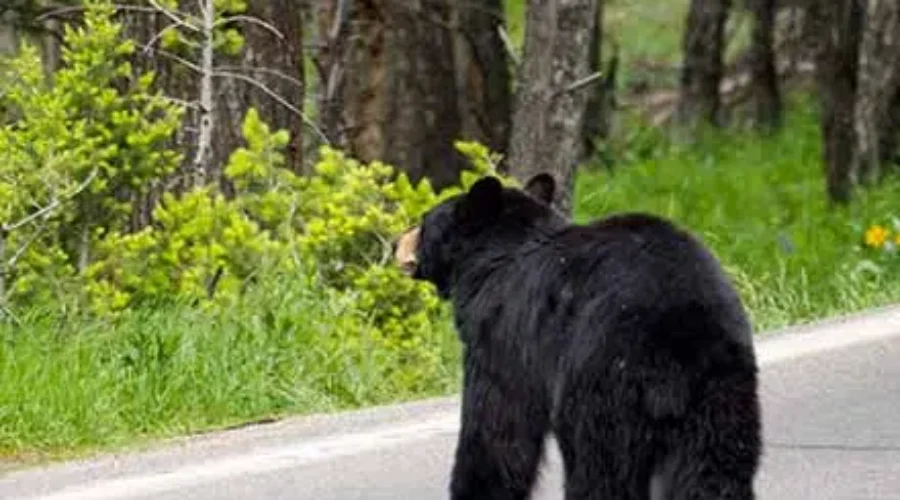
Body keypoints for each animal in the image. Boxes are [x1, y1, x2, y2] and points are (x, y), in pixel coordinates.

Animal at [394, 173, 761, 500]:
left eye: (424, 220)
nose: (399, 239)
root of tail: (678, 341)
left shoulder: (504, 333)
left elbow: (497, 427)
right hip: (721, 393)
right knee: (714, 472)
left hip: (601, 386)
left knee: (599, 469)